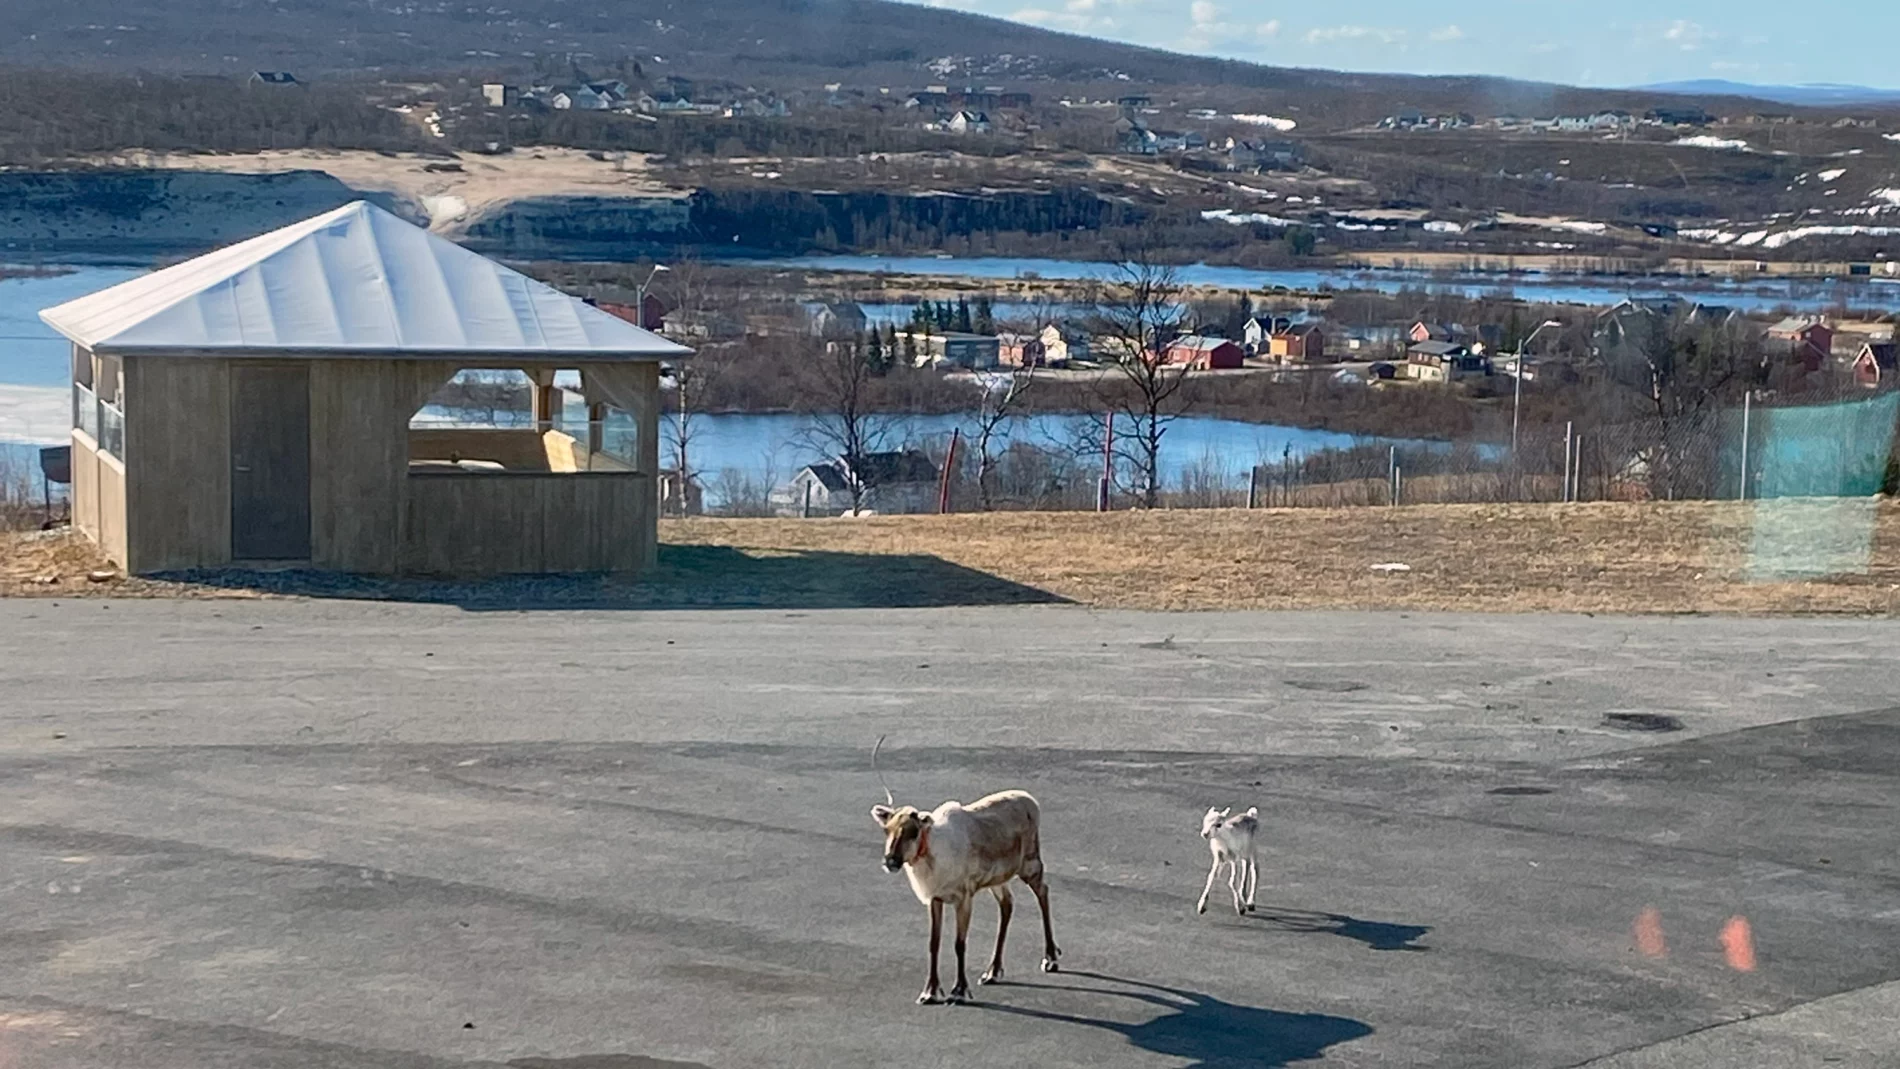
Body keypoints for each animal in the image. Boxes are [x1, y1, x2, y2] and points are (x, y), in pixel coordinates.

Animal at [870, 737, 1061, 1005]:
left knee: (1043, 891)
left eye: (913, 831)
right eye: (887, 829)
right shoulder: (935, 898)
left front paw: (959, 990)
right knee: (1007, 904)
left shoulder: (964, 897)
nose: (891, 861)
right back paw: (992, 971)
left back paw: (1050, 958)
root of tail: (1031, 800)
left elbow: (959, 943)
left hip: (1030, 863)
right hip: (998, 879)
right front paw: (930, 991)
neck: (932, 858)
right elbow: (934, 943)